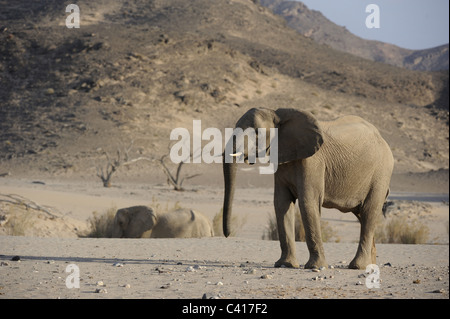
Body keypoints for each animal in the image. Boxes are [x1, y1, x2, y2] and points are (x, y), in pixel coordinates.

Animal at [223, 107, 392, 270]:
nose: (228, 234)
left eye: (257, 132)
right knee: (362, 215)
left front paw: (314, 266)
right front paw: (285, 264)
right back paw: (370, 266)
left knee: (369, 212)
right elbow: (281, 204)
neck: (278, 115)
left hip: (381, 174)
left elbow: (307, 203)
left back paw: (358, 266)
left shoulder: (312, 162)